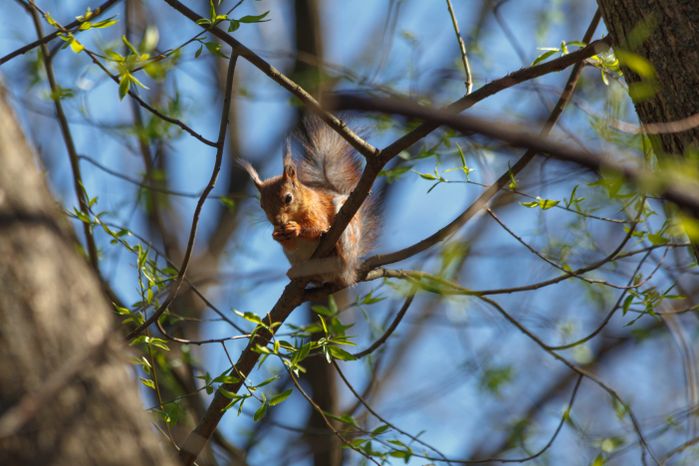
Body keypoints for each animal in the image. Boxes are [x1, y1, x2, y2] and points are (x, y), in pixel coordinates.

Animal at [240, 117, 376, 286]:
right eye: (261, 205)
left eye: (288, 198)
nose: (277, 221)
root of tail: (349, 274)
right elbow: (290, 244)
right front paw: (276, 235)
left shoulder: (316, 210)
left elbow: (319, 226)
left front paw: (297, 228)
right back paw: (297, 273)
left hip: (347, 233)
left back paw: (335, 252)